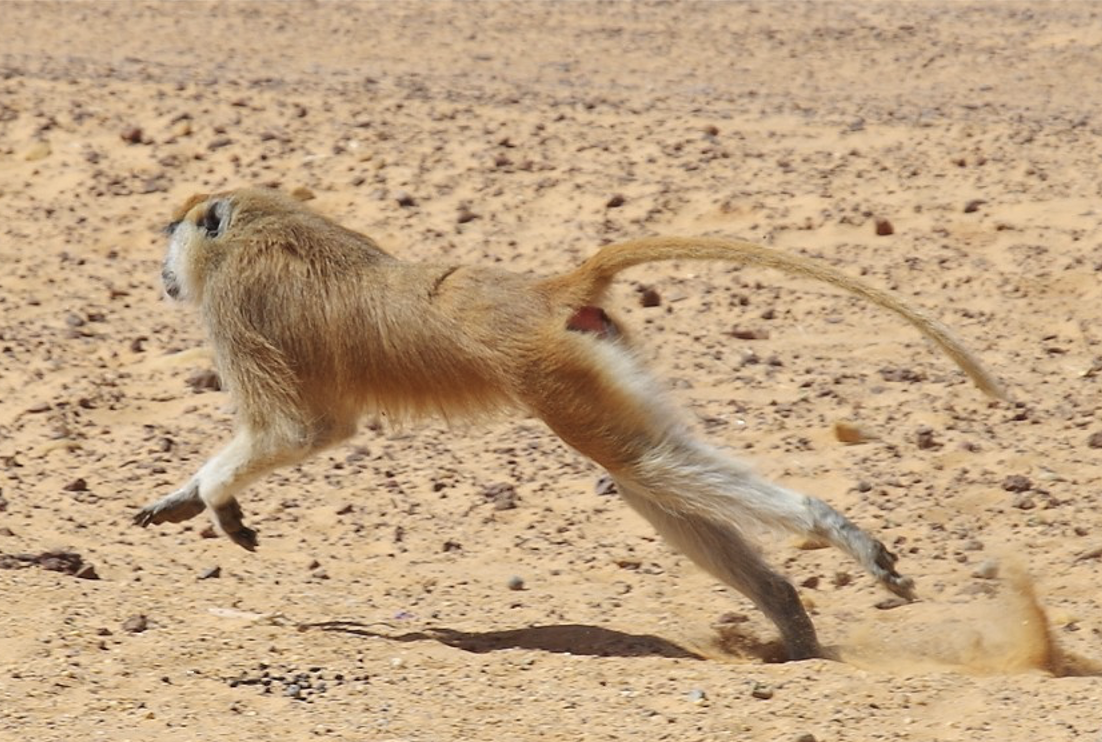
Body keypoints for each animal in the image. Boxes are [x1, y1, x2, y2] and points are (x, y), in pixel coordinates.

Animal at [137, 186, 1009, 661]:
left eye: (177, 233)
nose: (162, 271)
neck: (255, 228)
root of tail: (543, 292)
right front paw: (187, 498)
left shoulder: (238, 307)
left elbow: (303, 430)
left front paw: (213, 497)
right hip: (588, 355)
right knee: (643, 471)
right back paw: (790, 618)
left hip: (546, 368)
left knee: (643, 463)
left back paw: (831, 531)